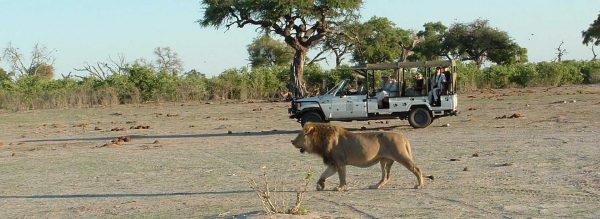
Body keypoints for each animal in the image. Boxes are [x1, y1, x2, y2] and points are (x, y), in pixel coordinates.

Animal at [290, 122, 422, 191]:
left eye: (300, 135)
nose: (292, 141)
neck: (321, 140)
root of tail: (403, 137)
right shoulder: (334, 163)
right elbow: (324, 174)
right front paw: (320, 184)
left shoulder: (340, 162)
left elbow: (341, 177)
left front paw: (339, 188)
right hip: (384, 161)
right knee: (386, 177)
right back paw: (375, 186)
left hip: (401, 156)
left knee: (417, 169)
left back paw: (419, 185)